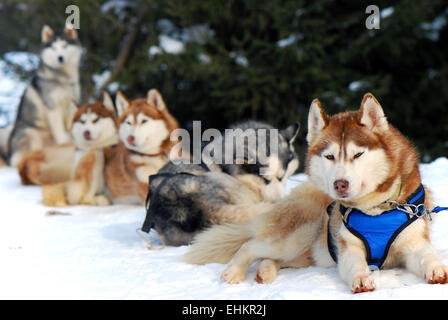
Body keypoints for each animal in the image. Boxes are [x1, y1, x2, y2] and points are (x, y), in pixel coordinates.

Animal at [7, 25, 82, 168]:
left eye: (64, 46)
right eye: (53, 48)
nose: (60, 58)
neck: (63, 80)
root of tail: (10, 157)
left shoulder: (71, 107)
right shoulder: (53, 109)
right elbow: (61, 134)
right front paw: (66, 147)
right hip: (32, 134)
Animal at [183, 92, 448, 292]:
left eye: (358, 154)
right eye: (329, 156)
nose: (340, 184)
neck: (377, 210)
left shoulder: (414, 243)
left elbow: (426, 255)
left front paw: (437, 268)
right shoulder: (347, 247)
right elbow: (355, 264)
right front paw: (362, 278)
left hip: (308, 253)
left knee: (272, 257)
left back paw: (265, 270)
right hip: (298, 234)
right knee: (250, 245)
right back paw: (233, 272)